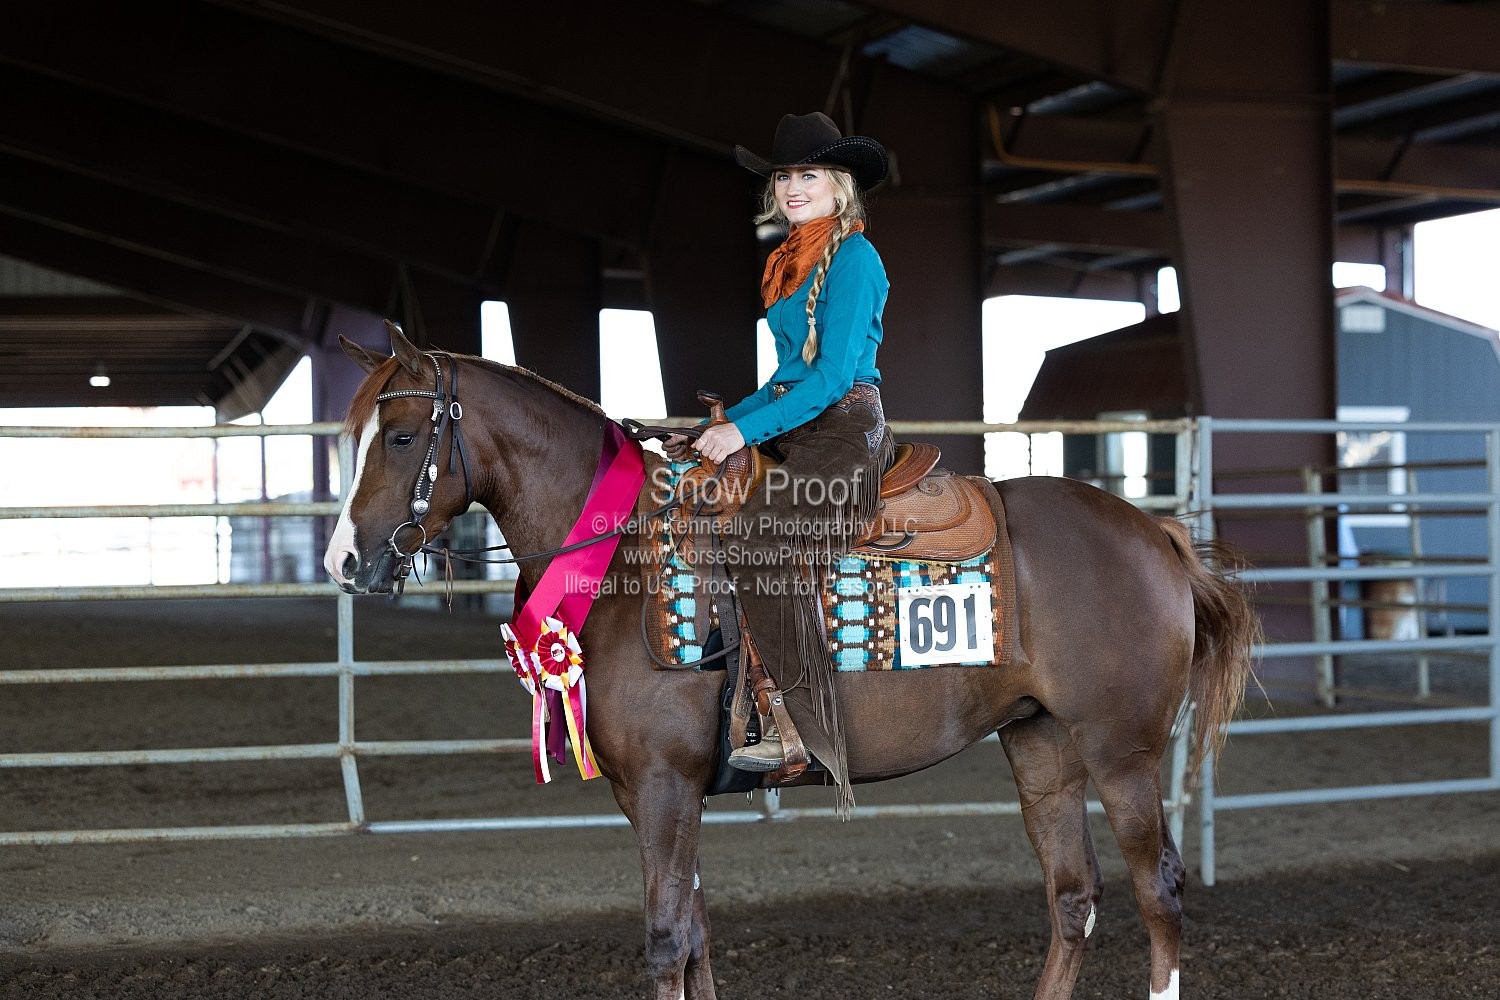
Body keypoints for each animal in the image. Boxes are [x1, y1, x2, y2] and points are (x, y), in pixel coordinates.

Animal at [323, 324, 1257, 1000]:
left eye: (400, 436)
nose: (344, 563)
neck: (621, 555)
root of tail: (1157, 535)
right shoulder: (661, 793)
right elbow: (697, 942)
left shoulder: (663, 788)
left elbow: (666, 943)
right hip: (1042, 746)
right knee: (1073, 898)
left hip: (1122, 752)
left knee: (1160, 890)